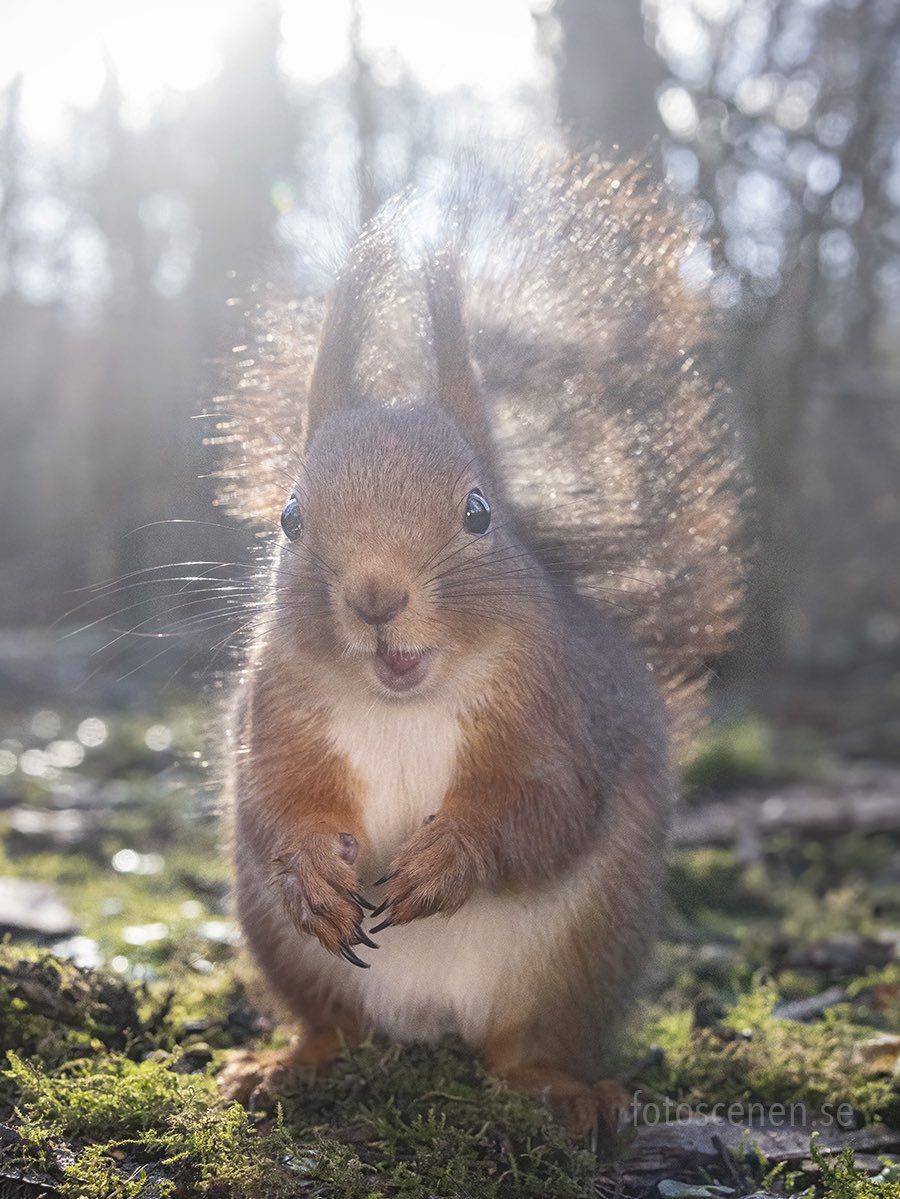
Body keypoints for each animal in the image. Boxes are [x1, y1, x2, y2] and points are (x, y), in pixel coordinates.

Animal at [213, 156, 742, 1134]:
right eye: (291, 517)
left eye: (478, 512)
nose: (376, 597)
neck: (407, 698)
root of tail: (427, 1022)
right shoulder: (278, 708)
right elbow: (274, 800)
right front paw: (309, 867)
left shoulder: (556, 715)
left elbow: (547, 807)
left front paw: (449, 857)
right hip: (287, 952)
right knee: (334, 1024)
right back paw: (283, 1063)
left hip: (576, 960)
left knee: (517, 1049)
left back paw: (567, 1092)